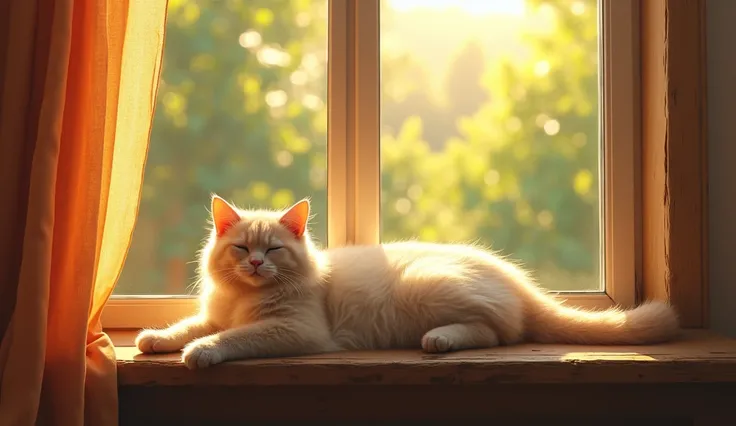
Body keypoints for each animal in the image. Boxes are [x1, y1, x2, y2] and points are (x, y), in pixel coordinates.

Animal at [137, 196, 680, 370]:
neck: (244, 298)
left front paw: (201, 353)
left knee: (500, 332)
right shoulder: (214, 312)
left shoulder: (294, 330)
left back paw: (439, 340)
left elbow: (233, 337)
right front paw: (154, 339)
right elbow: (190, 325)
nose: (253, 264)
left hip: (425, 284)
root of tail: (517, 279)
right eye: (240, 249)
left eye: (272, 250)